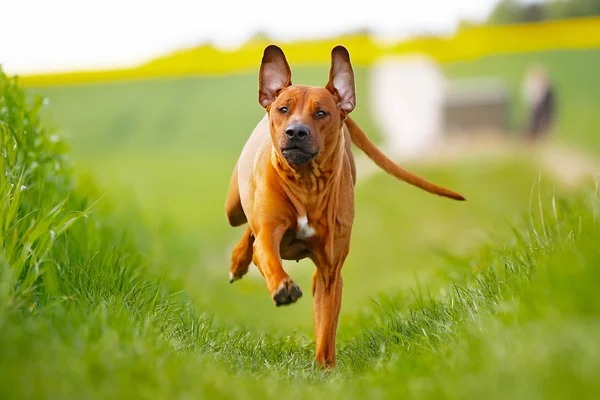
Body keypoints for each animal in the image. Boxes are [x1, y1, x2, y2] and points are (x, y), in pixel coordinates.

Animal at [225, 45, 464, 368]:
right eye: (284, 109)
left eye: (321, 112)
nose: (295, 132)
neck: (307, 184)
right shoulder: (268, 235)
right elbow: (267, 254)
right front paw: (283, 286)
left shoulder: (331, 270)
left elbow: (326, 325)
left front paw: (325, 368)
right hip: (233, 207)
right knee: (247, 230)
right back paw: (238, 260)